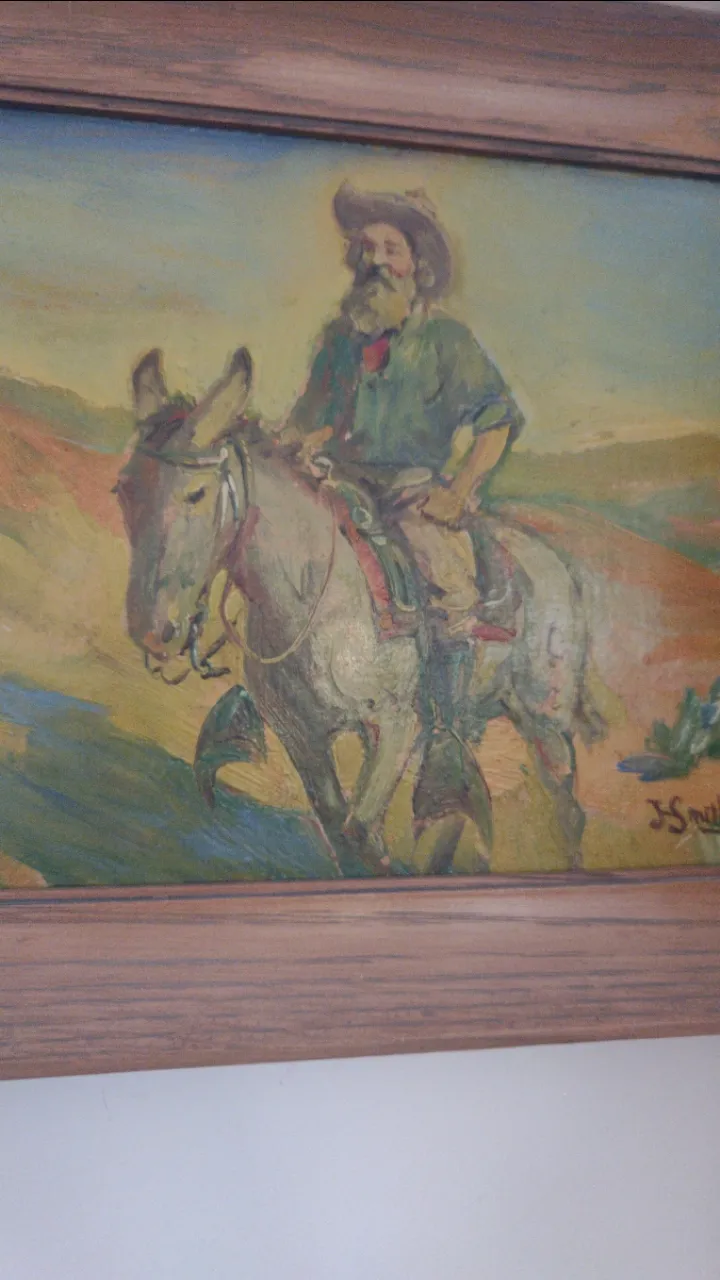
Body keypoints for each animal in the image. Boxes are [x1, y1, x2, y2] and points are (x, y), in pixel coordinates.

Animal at [116, 345, 606, 877]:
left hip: (546, 722)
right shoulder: (302, 737)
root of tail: (553, 563)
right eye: (123, 490)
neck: (317, 600)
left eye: (197, 493)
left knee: (569, 810)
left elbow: (360, 832)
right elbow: (341, 832)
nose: (152, 628)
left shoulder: (395, 727)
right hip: (472, 718)